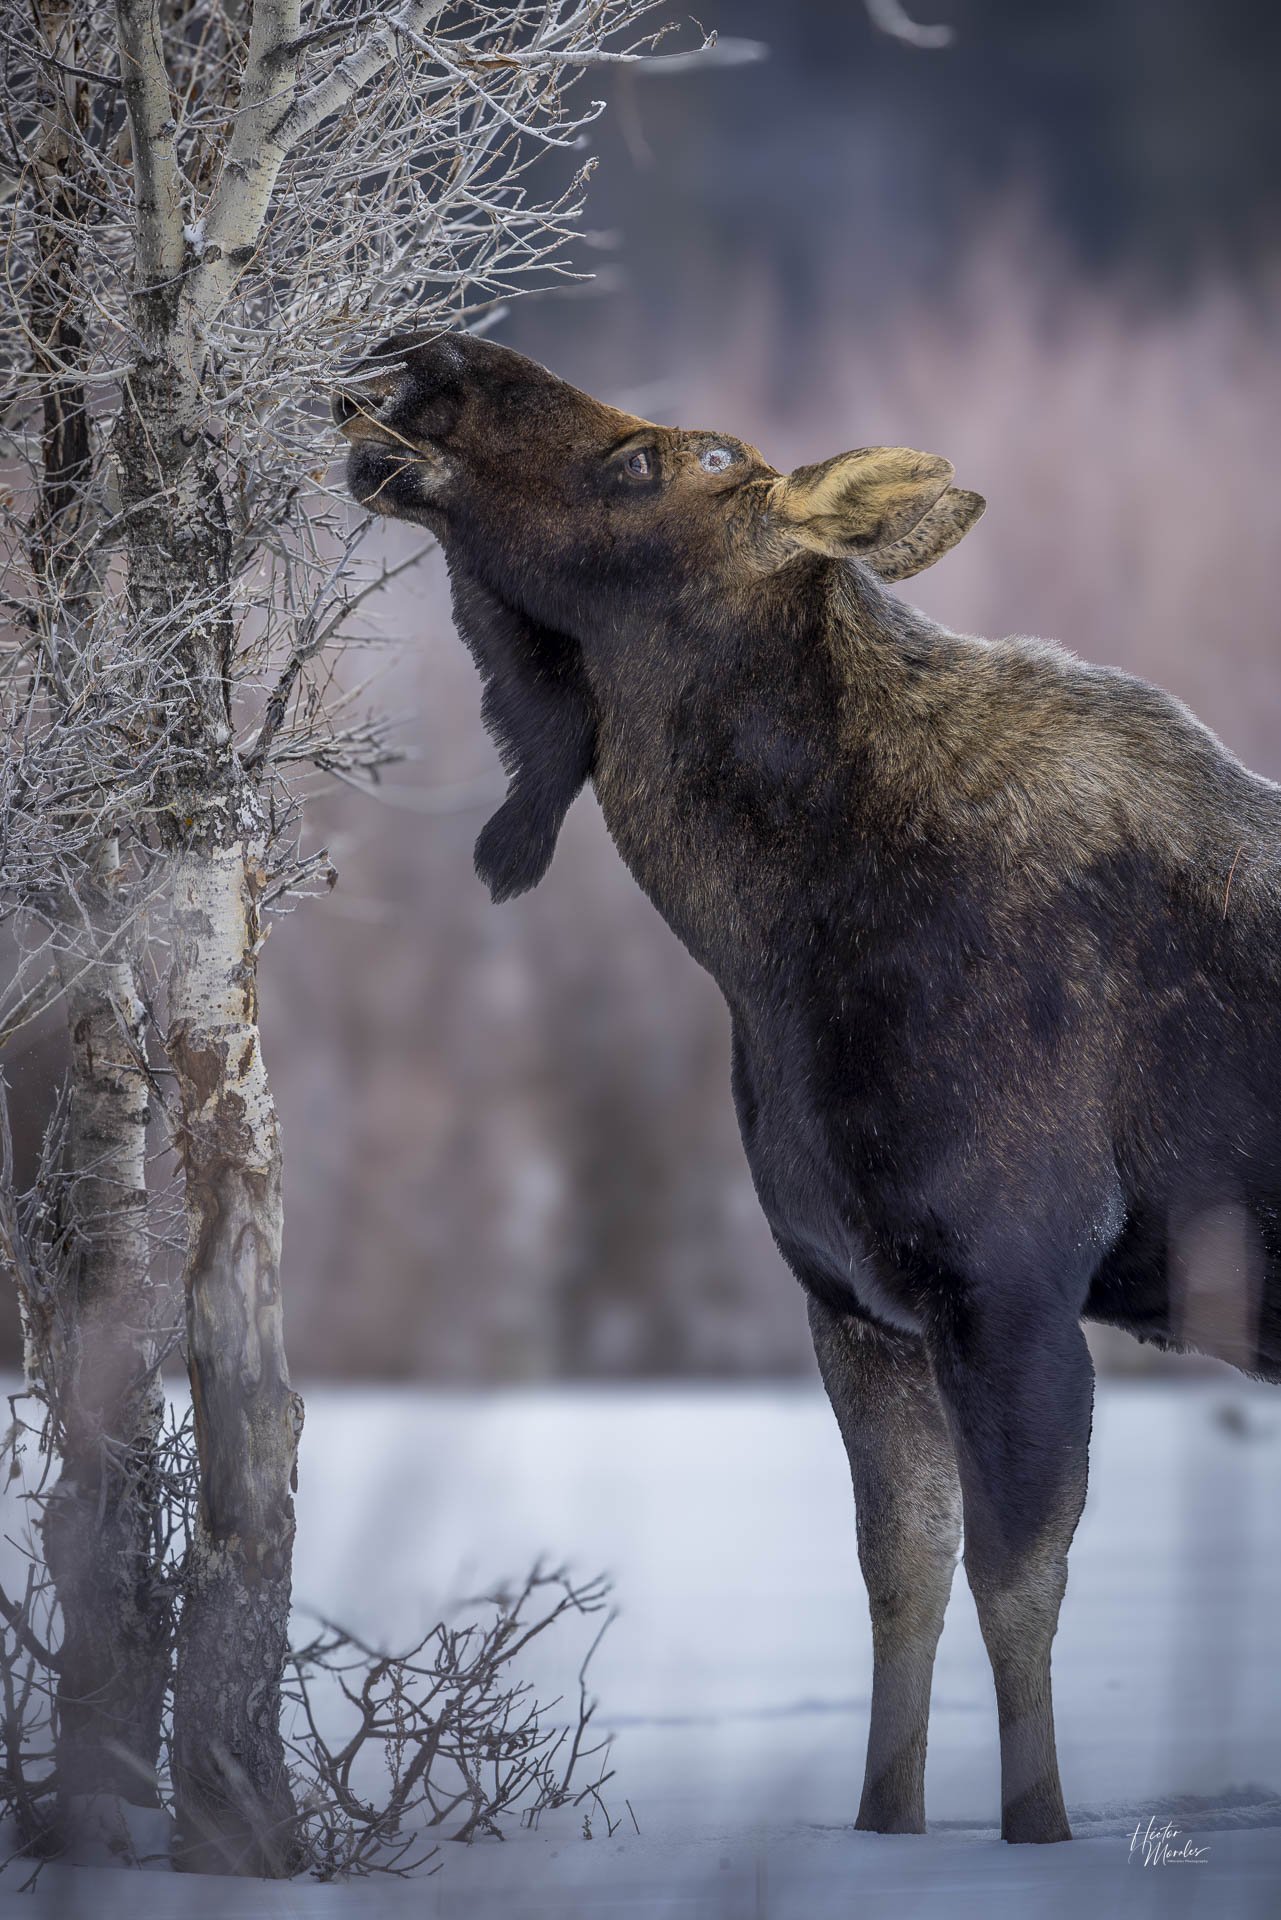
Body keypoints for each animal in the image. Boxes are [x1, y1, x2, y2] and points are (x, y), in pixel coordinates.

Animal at [334, 331, 1281, 1844]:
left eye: (651, 460)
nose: (426, 352)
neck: (761, 938)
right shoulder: (854, 1300)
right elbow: (900, 1581)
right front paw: (885, 1825)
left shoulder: (1011, 1279)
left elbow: (1016, 1589)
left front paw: (1037, 1833)